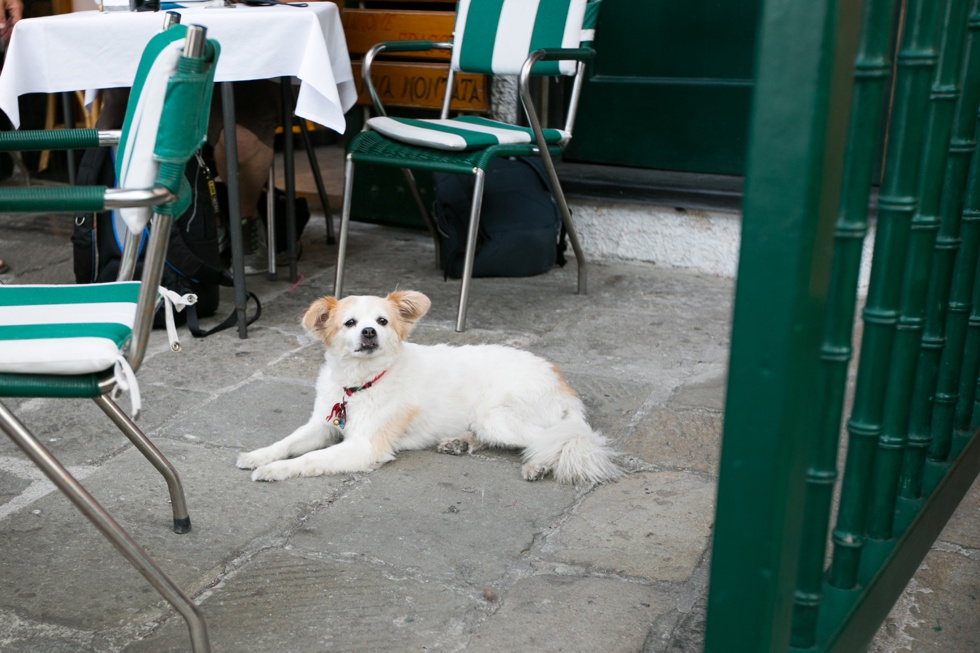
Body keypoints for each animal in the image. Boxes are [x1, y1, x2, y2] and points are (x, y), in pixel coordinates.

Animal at [235, 290, 620, 484]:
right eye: (350, 323)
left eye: (382, 321)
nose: (369, 333)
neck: (360, 383)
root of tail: (561, 383)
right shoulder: (322, 424)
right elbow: (287, 443)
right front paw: (259, 456)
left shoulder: (365, 446)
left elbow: (311, 459)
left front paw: (274, 471)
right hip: (487, 420)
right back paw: (459, 443)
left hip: (496, 415)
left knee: (552, 438)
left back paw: (537, 465)